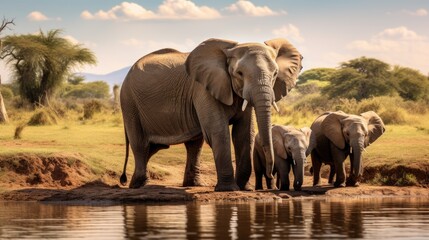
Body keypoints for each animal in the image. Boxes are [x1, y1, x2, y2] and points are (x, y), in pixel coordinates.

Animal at [118, 38, 302, 191]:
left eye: (275, 74)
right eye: (239, 73)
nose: (271, 174)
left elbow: (243, 134)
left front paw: (244, 188)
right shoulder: (203, 88)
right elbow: (218, 131)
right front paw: (229, 189)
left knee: (190, 144)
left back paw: (192, 184)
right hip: (129, 102)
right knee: (140, 144)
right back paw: (139, 185)